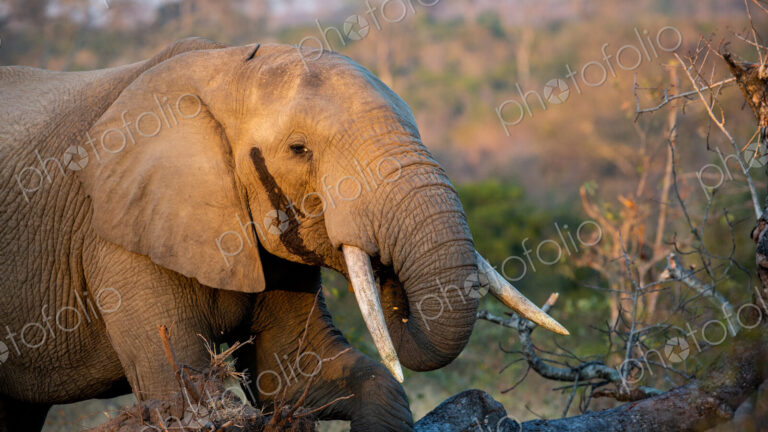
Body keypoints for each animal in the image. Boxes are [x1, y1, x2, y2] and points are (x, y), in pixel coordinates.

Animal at [0, 38, 567, 431]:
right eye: (299, 150)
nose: (385, 265)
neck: (227, 66)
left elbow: (293, 376)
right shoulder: (117, 236)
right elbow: (188, 400)